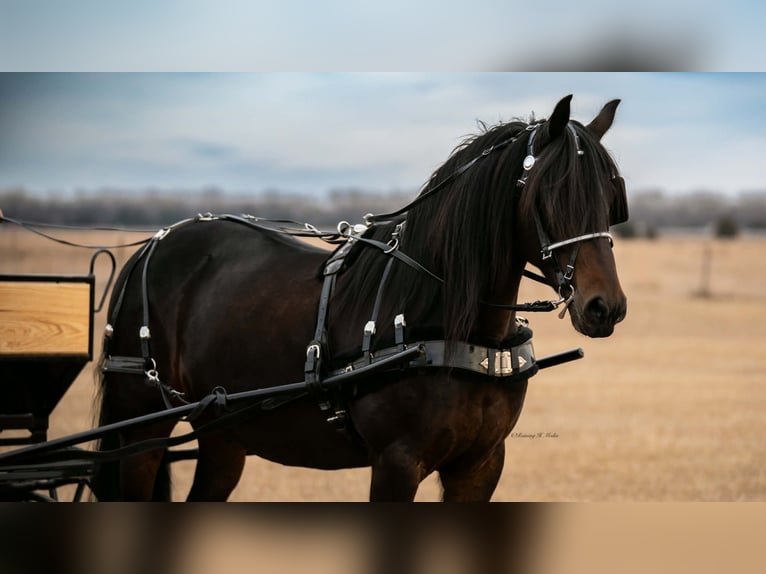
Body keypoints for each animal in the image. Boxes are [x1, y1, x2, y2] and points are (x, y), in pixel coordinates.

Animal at [92, 95, 628, 501]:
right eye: (552, 194)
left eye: (611, 197)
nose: (606, 307)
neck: (453, 326)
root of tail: (155, 243)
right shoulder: (396, 463)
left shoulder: (481, 464)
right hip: (140, 428)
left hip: (223, 431)